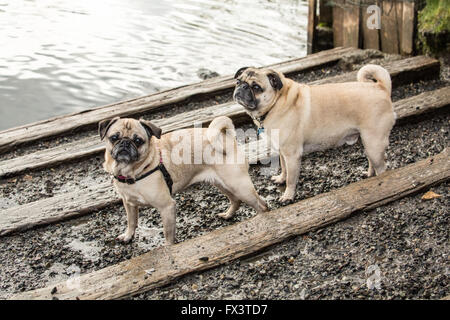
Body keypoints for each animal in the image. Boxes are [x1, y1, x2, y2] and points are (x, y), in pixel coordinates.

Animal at [98, 116, 268, 244]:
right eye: (114, 138)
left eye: (138, 140)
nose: (125, 142)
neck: (131, 173)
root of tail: (226, 138)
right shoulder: (129, 203)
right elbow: (131, 221)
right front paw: (128, 236)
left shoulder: (167, 207)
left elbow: (168, 234)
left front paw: (168, 249)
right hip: (222, 184)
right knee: (236, 200)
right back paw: (228, 215)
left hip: (239, 186)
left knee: (262, 205)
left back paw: (262, 219)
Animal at [234, 65, 396, 202]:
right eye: (238, 81)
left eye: (256, 87)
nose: (242, 86)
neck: (277, 102)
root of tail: (380, 87)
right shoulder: (282, 152)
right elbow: (284, 169)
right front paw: (281, 178)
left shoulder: (292, 155)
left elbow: (291, 179)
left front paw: (288, 196)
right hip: (367, 142)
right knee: (371, 161)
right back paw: (369, 175)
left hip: (374, 143)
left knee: (381, 167)